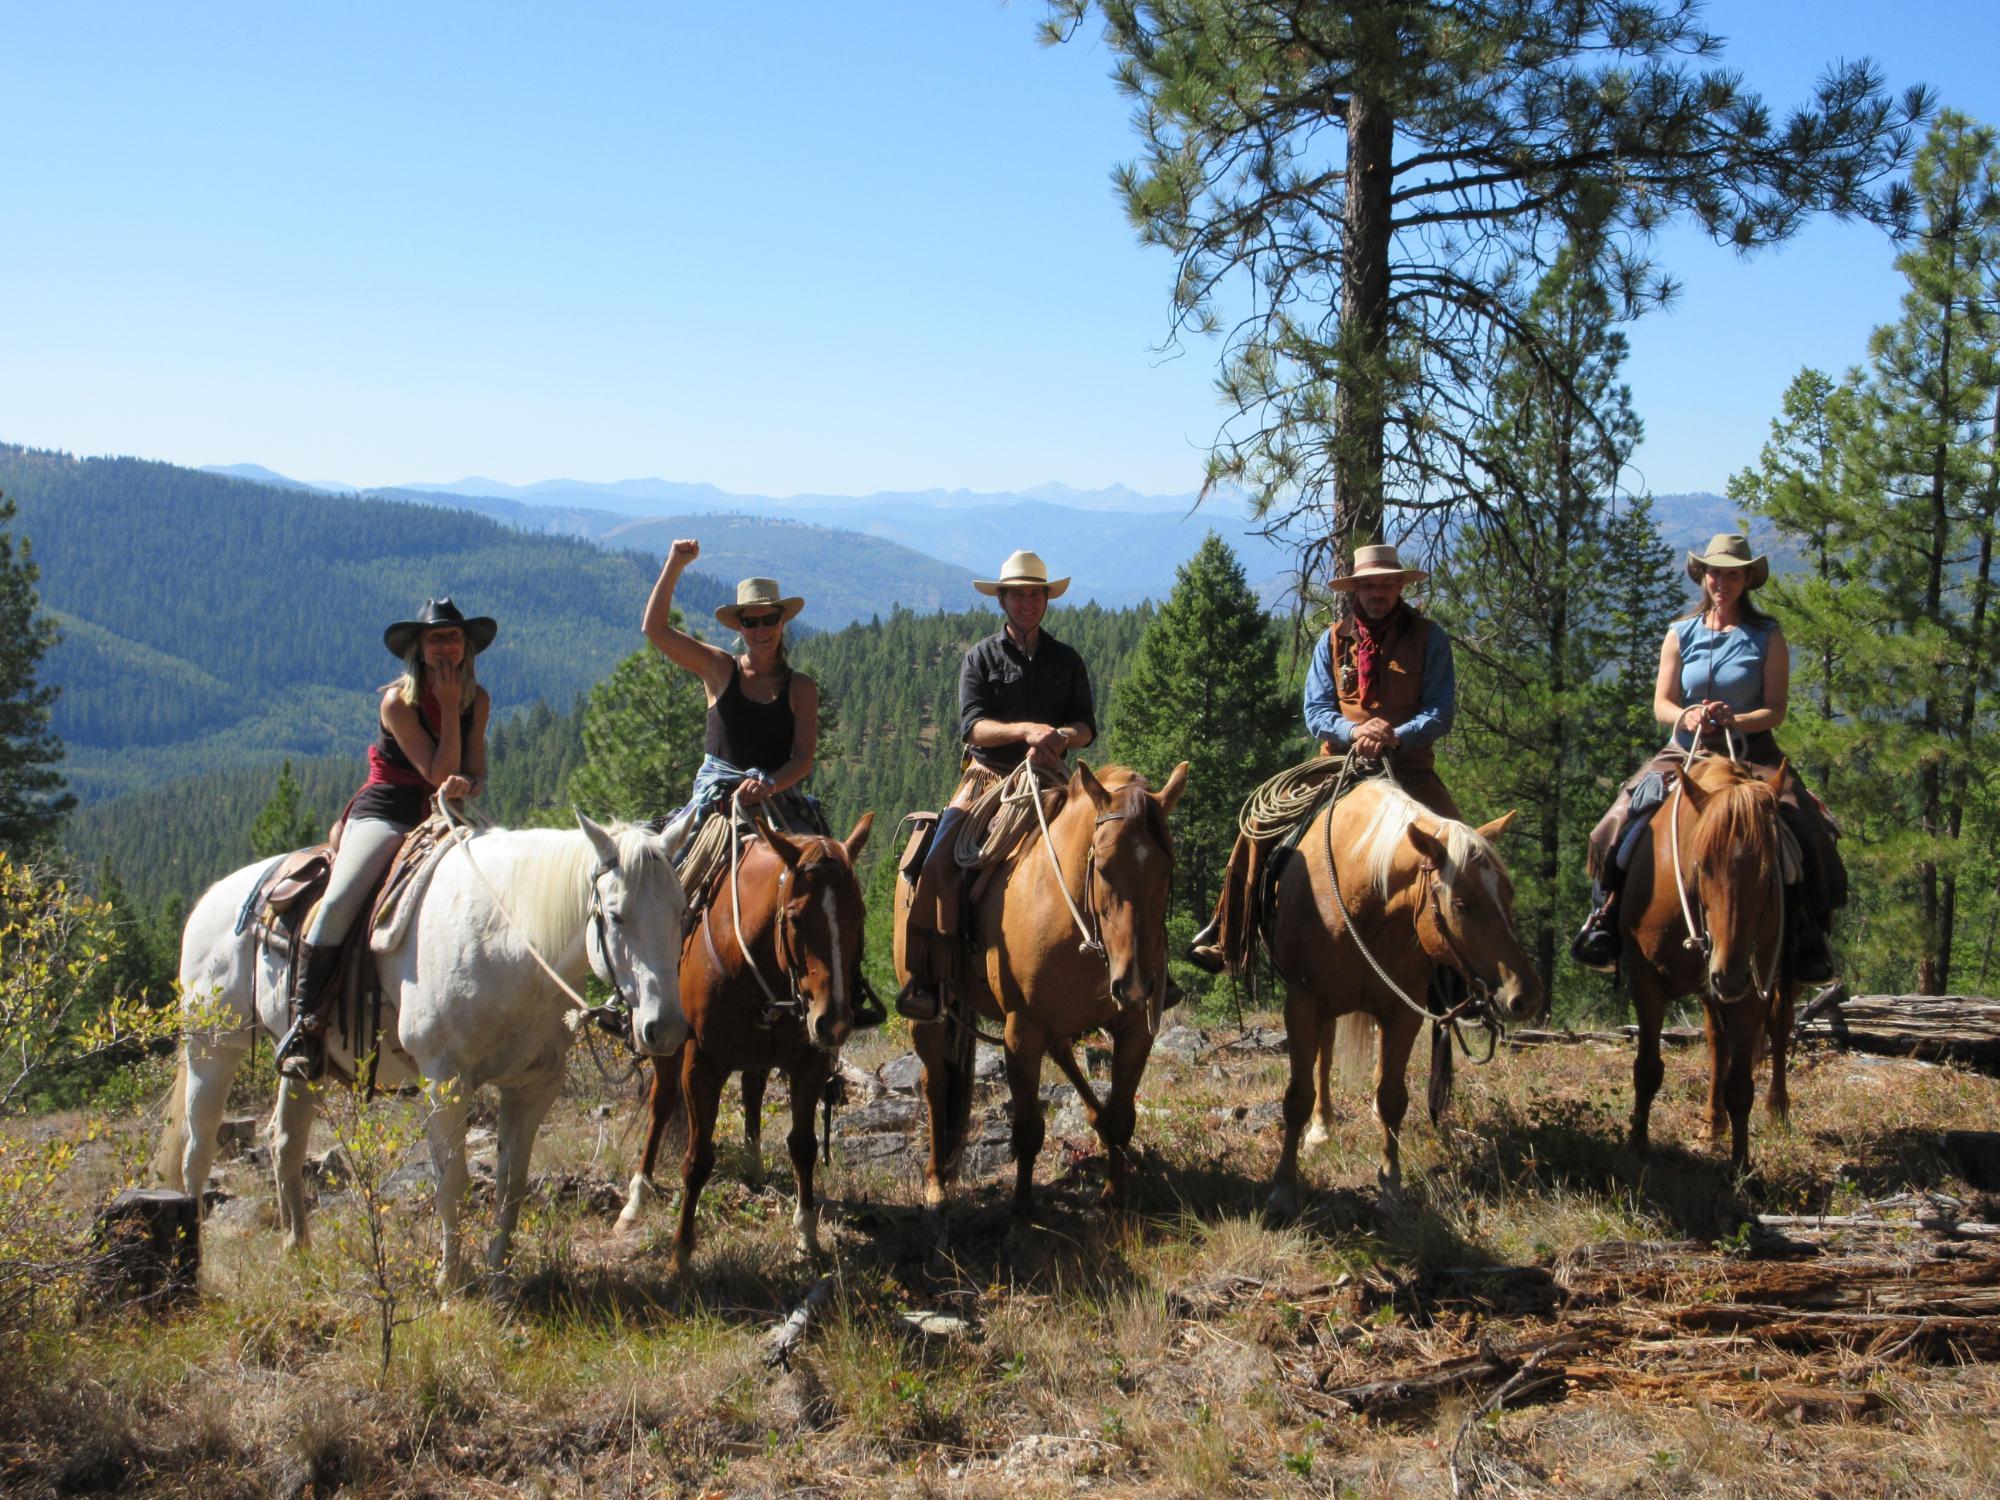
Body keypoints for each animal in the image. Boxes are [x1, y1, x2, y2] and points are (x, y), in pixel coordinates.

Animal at [158, 816, 688, 1288]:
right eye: (616, 915)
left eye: (681, 912)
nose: (664, 1028)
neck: (508, 944)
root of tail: (209, 902)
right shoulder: (445, 1080)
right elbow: (452, 1182)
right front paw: (449, 1286)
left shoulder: (533, 1086)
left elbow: (511, 1185)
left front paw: (498, 1280)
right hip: (211, 1051)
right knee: (197, 1150)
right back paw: (192, 1267)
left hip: (302, 1064)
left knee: (284, 1141)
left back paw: (297, 1247)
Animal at [904, 764, 1192, 1224]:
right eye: (1103, 867)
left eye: (1166, 868)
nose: (1132, 983)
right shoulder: (1020, 1032)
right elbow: (1026, 1130)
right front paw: (1022, 1209)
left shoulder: (1133, 1027)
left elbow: (1121, 1117)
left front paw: (1115, 1195)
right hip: (928, 1016)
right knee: (936, 1085)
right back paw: (936, 1183)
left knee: (1063, 1056)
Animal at [1264, 776, 1544, 1224]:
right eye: (1461, 903)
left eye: (1509, 894)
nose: (1526, 996)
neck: (1358, 895)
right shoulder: (1303, 1002)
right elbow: (1298, 1095)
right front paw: (1285, 1190)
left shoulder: (1402, 1012)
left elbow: (1392, 1097)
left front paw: (1390, 1187)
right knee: (1323, 1058)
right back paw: (1321, 1130)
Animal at [1616, 756, 1792, 1168]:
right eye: (1703, 866)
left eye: (1767, 873)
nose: (1730, 975)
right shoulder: (1646, 980)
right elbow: (1648, 1068)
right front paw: (1637, 1144)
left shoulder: (1752, 991)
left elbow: (1741, 1086)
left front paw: (1741, 1166)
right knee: (1717, 1040)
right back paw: (1713, 1123)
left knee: (1779, 1025)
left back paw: (1777, 1110)